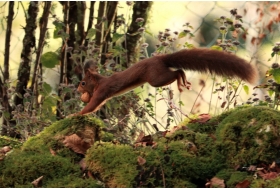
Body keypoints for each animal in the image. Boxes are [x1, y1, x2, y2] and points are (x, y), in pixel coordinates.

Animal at [77, 48, 258, 115]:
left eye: (83, 83)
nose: (78, 91)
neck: (99, 82)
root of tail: (162, 59)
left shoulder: (102, 91)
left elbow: (92, 106)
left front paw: (76, 114)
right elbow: (95, 107)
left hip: (156, 79)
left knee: (177, 72)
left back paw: (181, 82)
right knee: (179, 71)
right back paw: (183, 82)